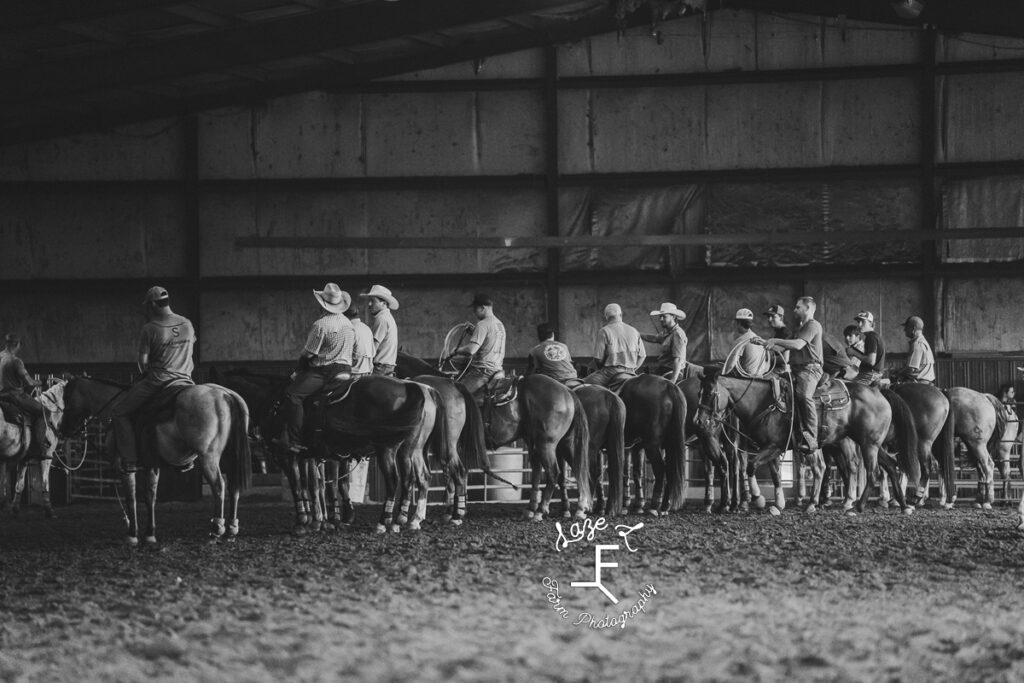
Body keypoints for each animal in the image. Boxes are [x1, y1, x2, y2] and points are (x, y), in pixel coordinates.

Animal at [0, 382, 67, 520]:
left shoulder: (24, 459)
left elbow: (19, 485)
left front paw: (14, 509)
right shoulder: (46, 457)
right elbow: (45, 483)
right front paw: (49, 510)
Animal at [481, 370, 593, 520]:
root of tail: (567, 391)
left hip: (546, 445)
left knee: (553, 473)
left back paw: (540, 510)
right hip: (562, 444)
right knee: (576, 469)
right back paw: (578, 508)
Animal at [614, 376, 688, 516]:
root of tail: (669, 387)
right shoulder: (635, 447)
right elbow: (635, 472)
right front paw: (636, 504)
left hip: (652, 446)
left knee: (660, 469)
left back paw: (654, 505)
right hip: (669, 444)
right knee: (669, 470)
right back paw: (664, 506)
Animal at [692, 370, 917, 516]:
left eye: (710, 393)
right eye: (698, 393)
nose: (698, 421)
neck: (764, 402)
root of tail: (879, 392)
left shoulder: (774, 446)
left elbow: (751, 466)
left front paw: (759, 499)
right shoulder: (772, 448)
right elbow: (770, 472)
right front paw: (776, 504)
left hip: (868, 444)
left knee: (873, 472)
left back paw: (857, 506)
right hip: (872, 443)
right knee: (891, 465)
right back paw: (903, 505)